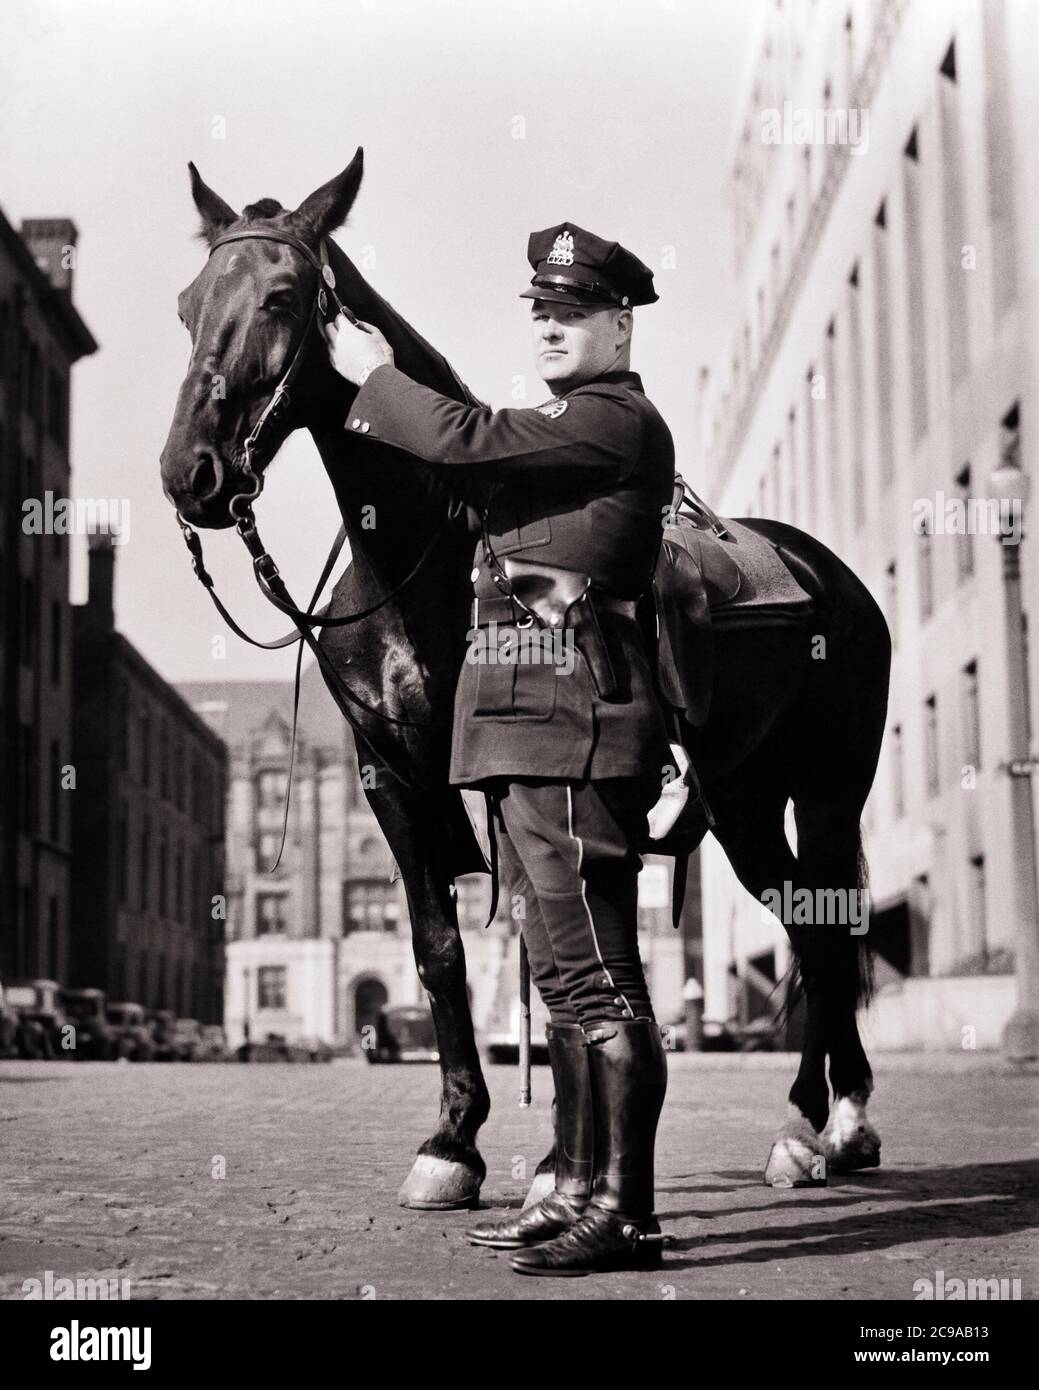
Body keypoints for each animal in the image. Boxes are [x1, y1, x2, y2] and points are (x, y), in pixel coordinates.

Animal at [158, 154, 890, 1206]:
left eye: (284, 296)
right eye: (188, 303)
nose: (192, 473)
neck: (419, 553)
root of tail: (822, 569)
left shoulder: (509, 771)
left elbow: (540, 950)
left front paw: (547, 1164)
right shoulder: (389, 774)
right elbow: (438, 949)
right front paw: (452, 1140)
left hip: (827, 788)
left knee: (827, 930)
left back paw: (822, 1123)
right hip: (743, 798)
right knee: (802, 921)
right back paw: (826, 1120)